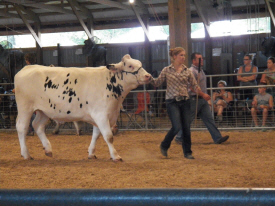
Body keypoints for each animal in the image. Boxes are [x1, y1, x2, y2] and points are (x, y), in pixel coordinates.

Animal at [14, 54, 153, 161]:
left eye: (140, 63)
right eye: (130, 66)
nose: (148, 76)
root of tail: (28, 67)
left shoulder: (101, 116)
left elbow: (96, 135)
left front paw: (91, 153)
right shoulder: (101, 115)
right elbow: (108, 136)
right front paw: (115, 156)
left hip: (43, 111)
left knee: (37, 125)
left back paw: (48, 150)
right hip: (25, 108)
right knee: (22, 127)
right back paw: (26, 154)